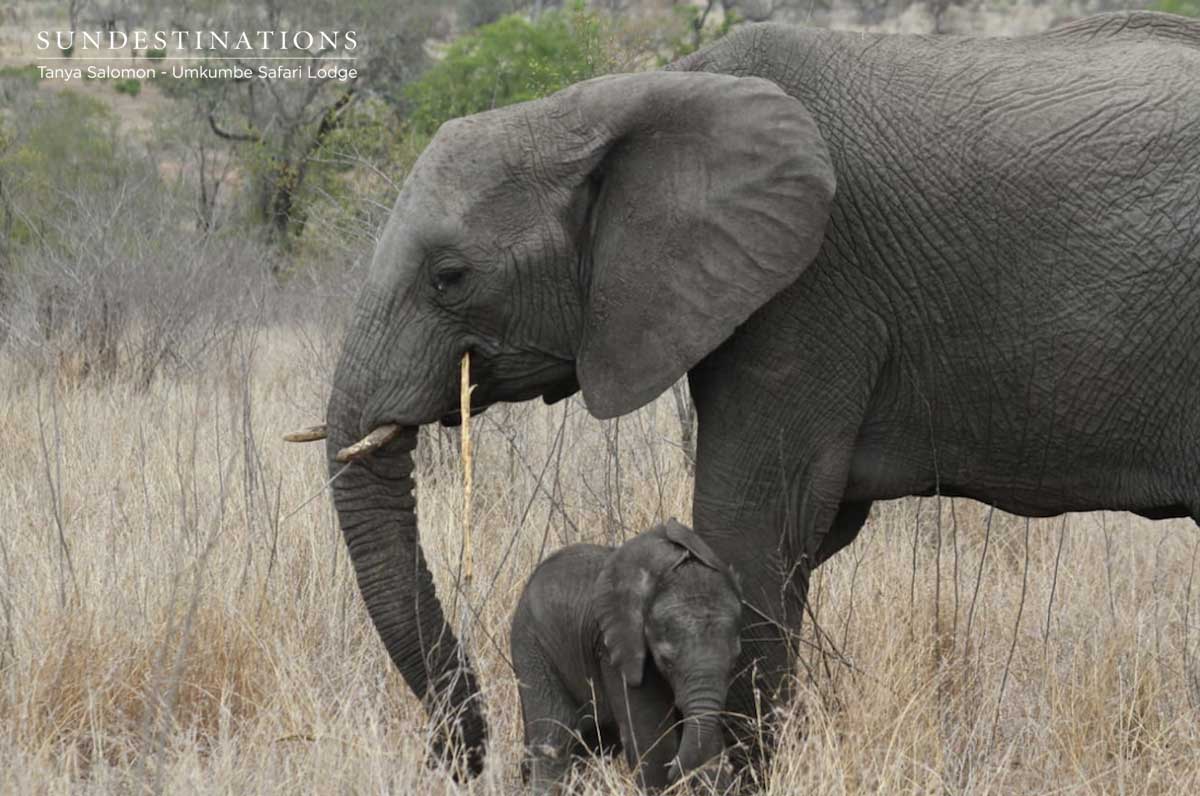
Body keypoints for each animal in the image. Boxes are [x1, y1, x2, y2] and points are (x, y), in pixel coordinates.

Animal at [511, 520, 742, 794]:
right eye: (666, 661)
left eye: (733, 662)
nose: (677, 770)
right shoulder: (615, 649)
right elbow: (652, 743)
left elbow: (708, 743)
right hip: (532, 647)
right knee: (554, 738)